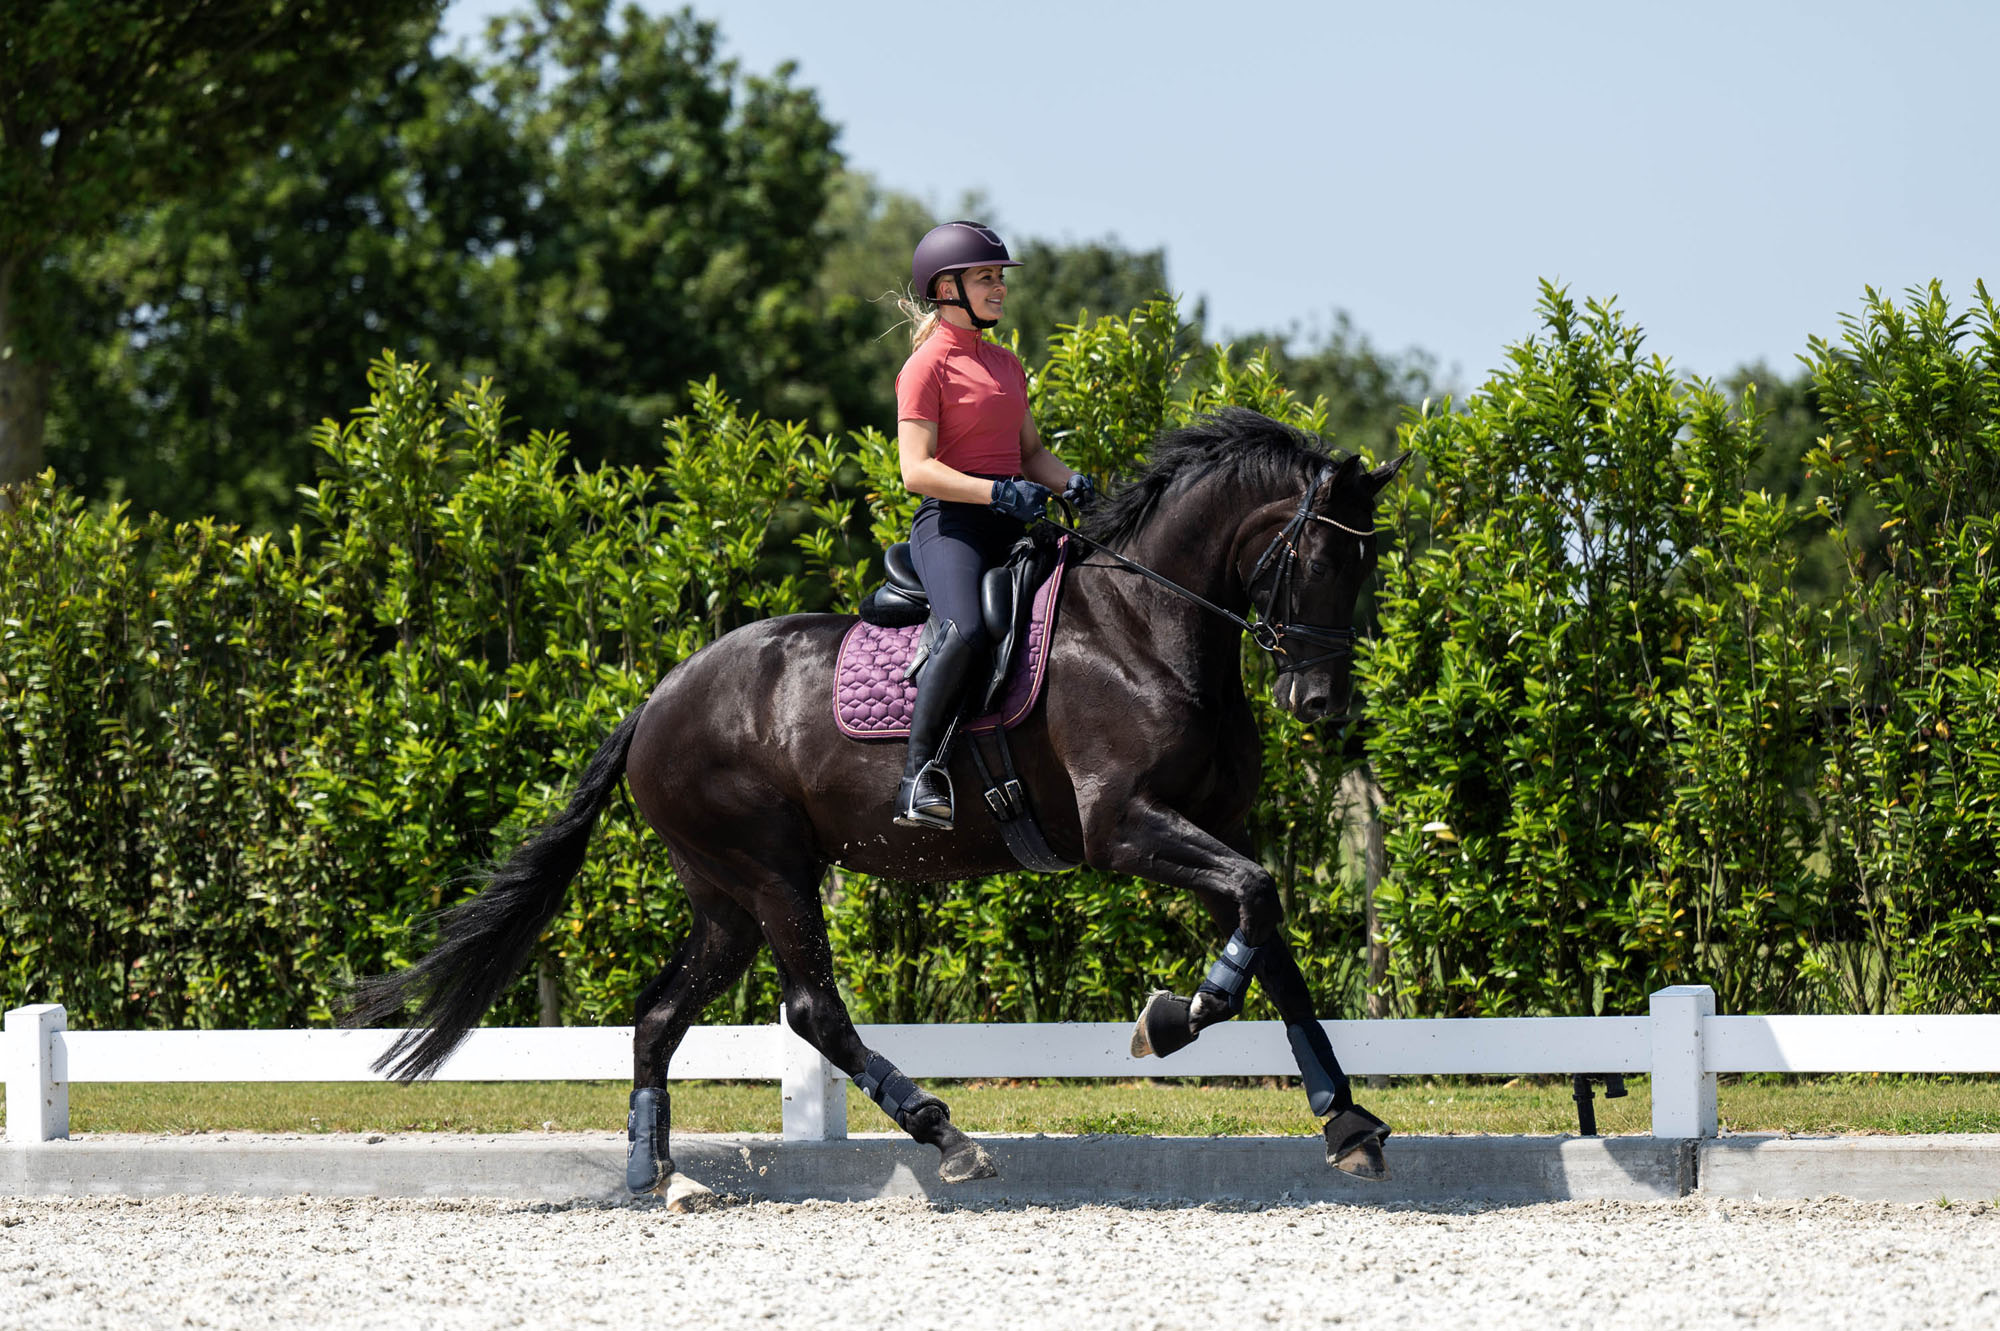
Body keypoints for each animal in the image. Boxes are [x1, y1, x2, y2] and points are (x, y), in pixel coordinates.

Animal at [345, 406, 1409, 1193]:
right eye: (1319, 558)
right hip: (771, 871)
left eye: (1367, 563)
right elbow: (1257, 902)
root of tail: (658, 695)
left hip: (726, 896)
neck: (1144, 628)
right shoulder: (1125, 828)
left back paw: (655, 1169)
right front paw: (1176, 1016)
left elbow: (1271, 938)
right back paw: (943, 1132)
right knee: (813, 1007)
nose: (1321, 703)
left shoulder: (1215, 826)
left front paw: (1346, 1120)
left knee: (659, 1015)